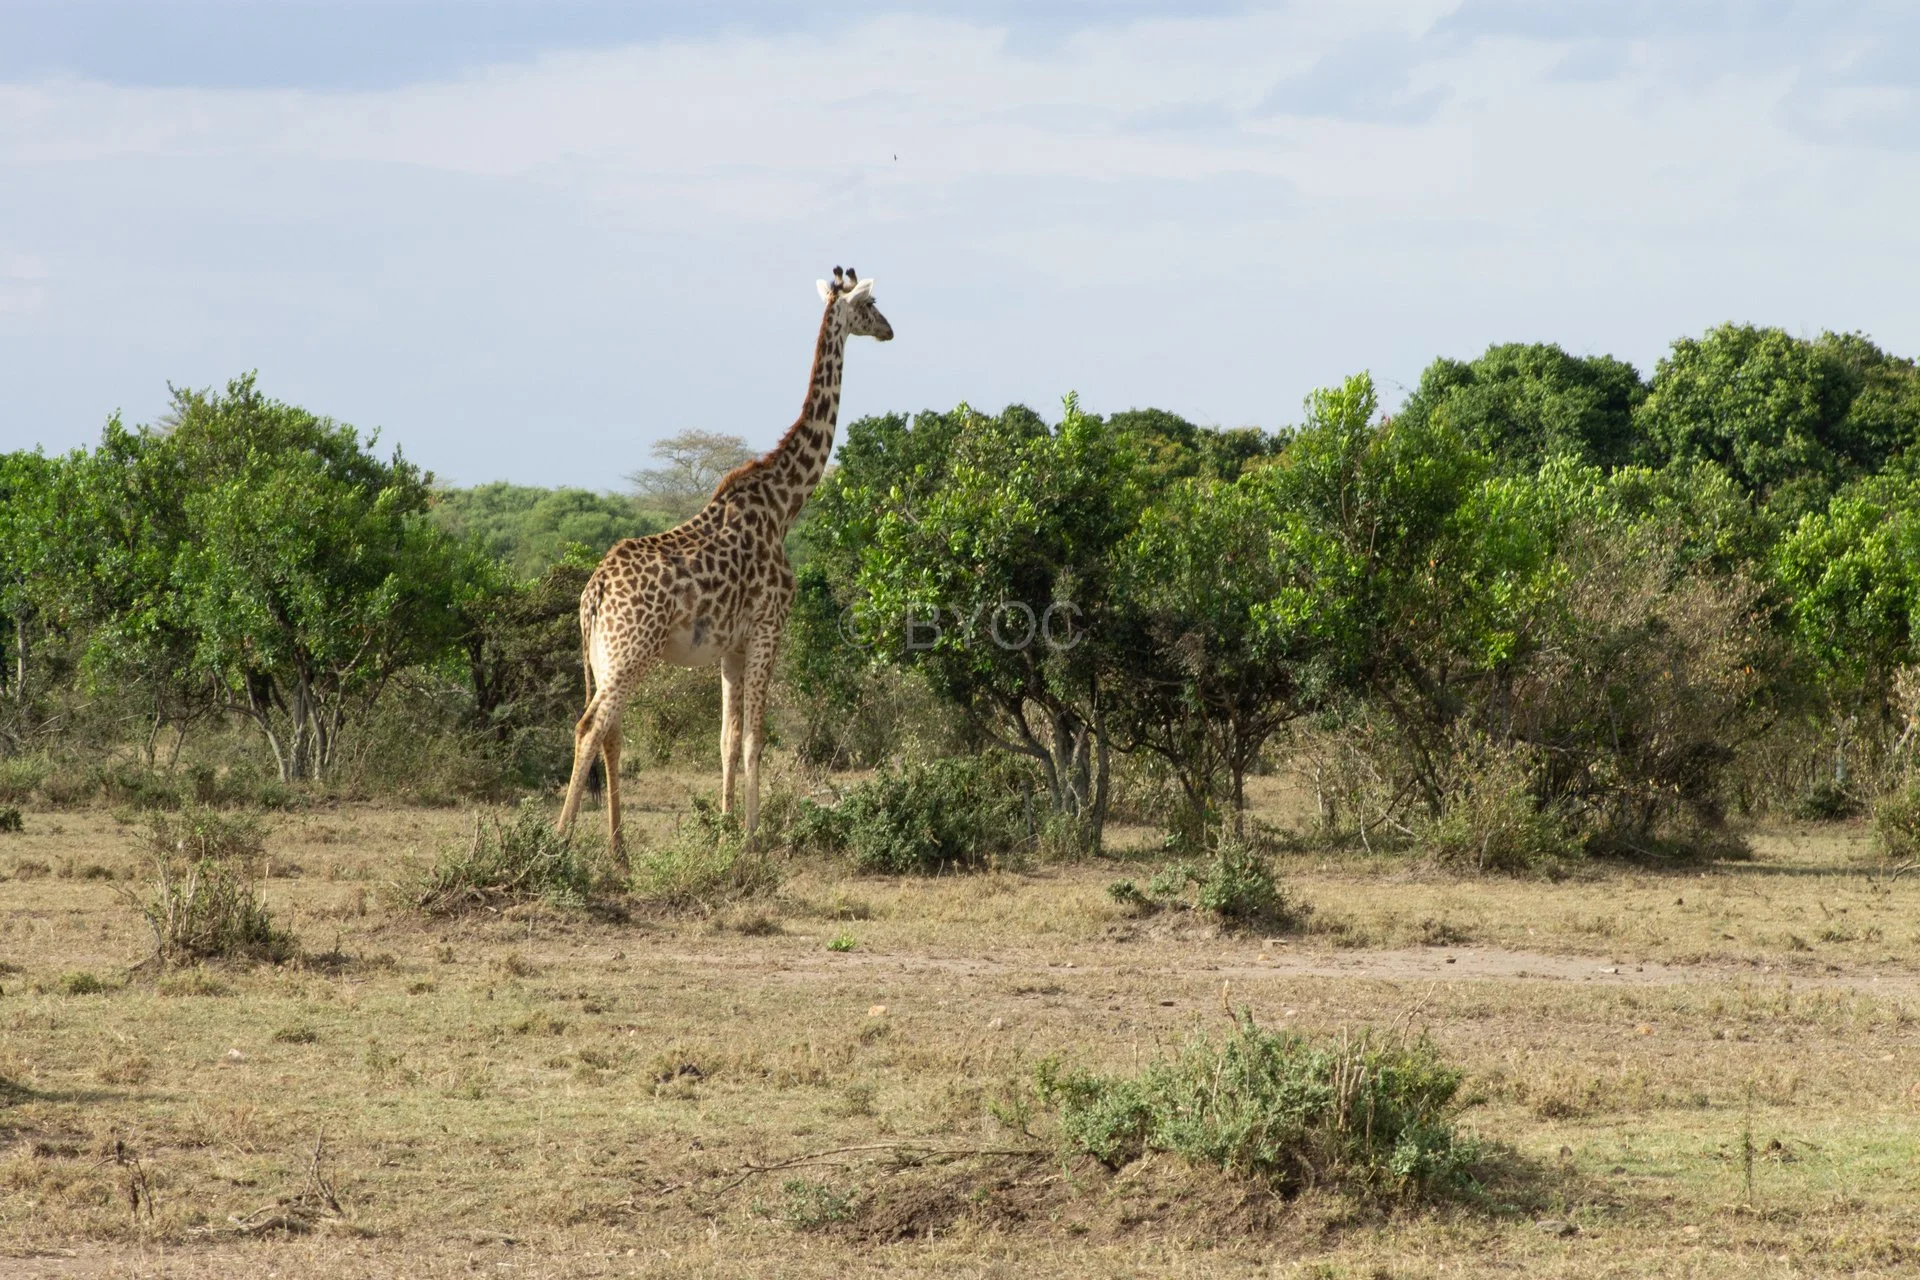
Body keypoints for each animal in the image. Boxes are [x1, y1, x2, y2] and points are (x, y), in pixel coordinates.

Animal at [556, 266, 893, 853]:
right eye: (870, 303)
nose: (890, 330)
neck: (785, 503)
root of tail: (592, 593)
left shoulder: (730, 646)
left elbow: (727, 740)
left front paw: (724, 827)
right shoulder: (768, 628)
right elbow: (756, 737)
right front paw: (754, 838)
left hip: (604, 657)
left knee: (610, 731)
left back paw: (619, 853)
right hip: (630, 652)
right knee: (590, 727)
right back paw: (557, 844)